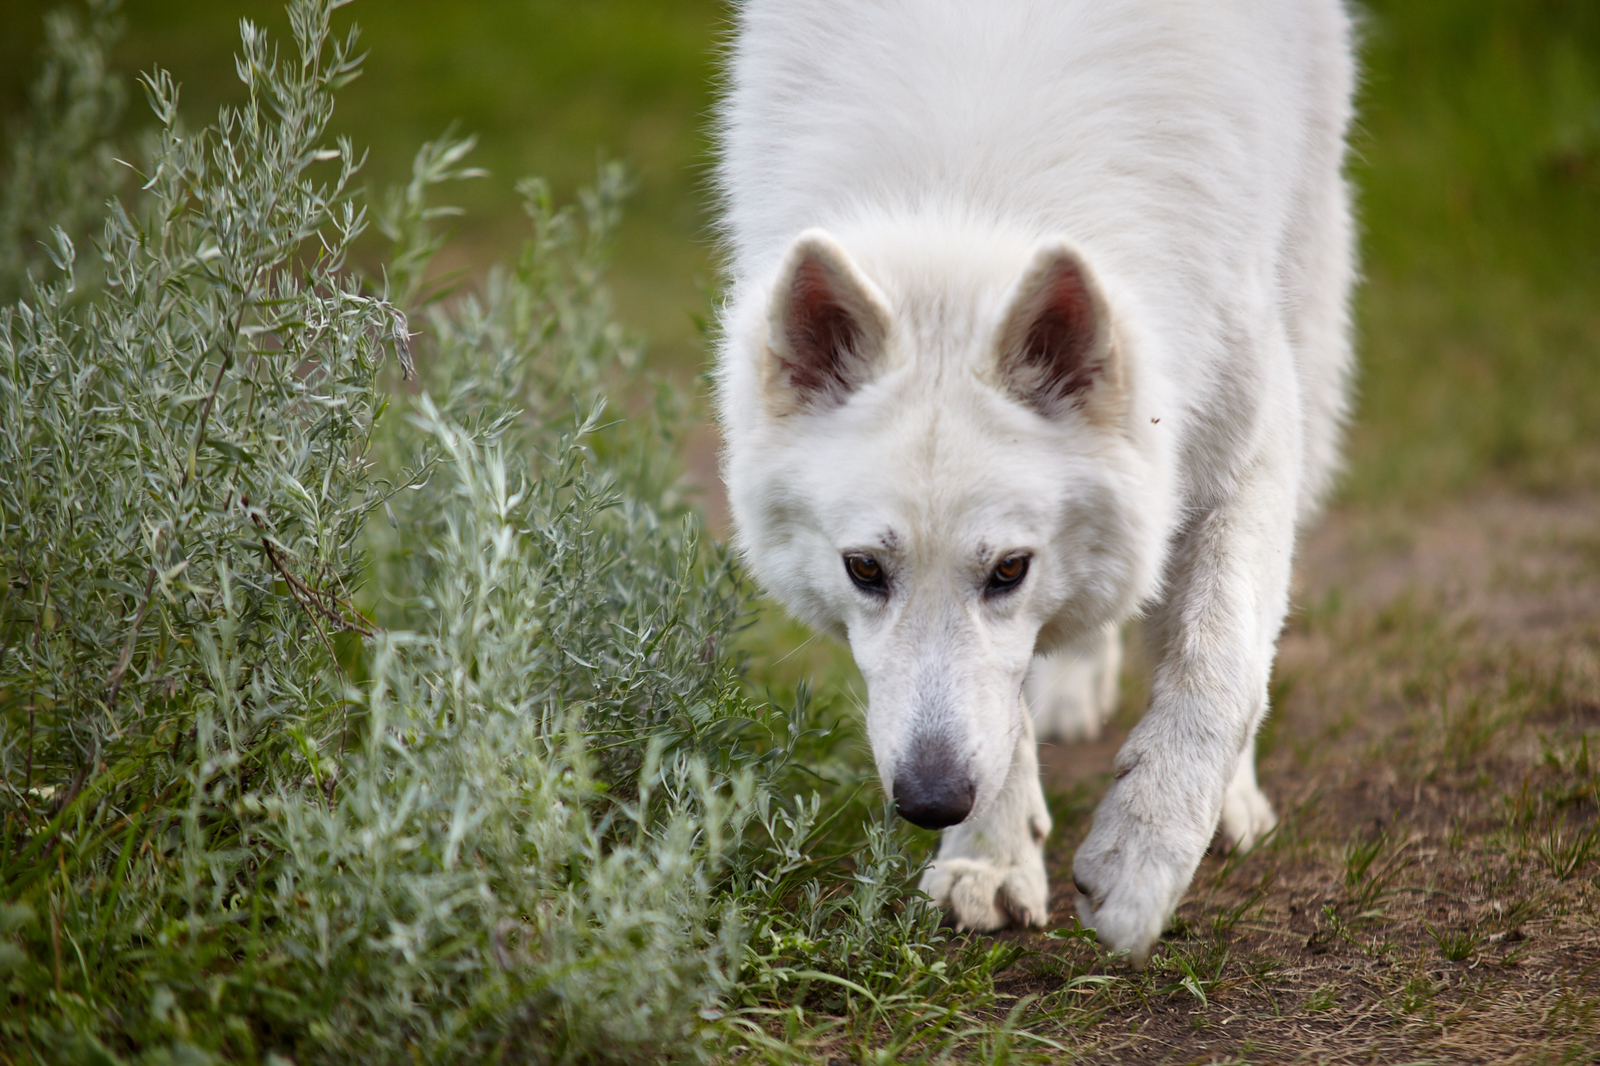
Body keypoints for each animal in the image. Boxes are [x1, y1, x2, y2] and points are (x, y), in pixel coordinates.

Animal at [720, 0, 1356, 960]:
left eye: (1008, 571)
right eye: (863, 570)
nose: (930, 803)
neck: (969, 203)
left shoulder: (1246, 447)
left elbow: (1221, 664)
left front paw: (1143, 857)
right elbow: (1005, 711)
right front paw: (989, 859)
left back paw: (1230, 801)